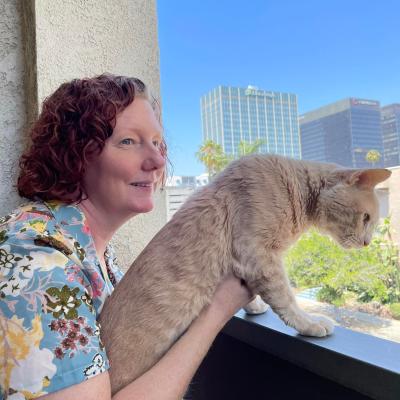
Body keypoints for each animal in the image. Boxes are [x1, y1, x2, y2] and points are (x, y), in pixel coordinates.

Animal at [99, 154, 390, 394]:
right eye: (366, 218)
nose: (367, 243)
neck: (296, 192)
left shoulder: (247, 262)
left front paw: (254, 306)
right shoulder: (258, 253)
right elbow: (286, 299)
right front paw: (310, 324)